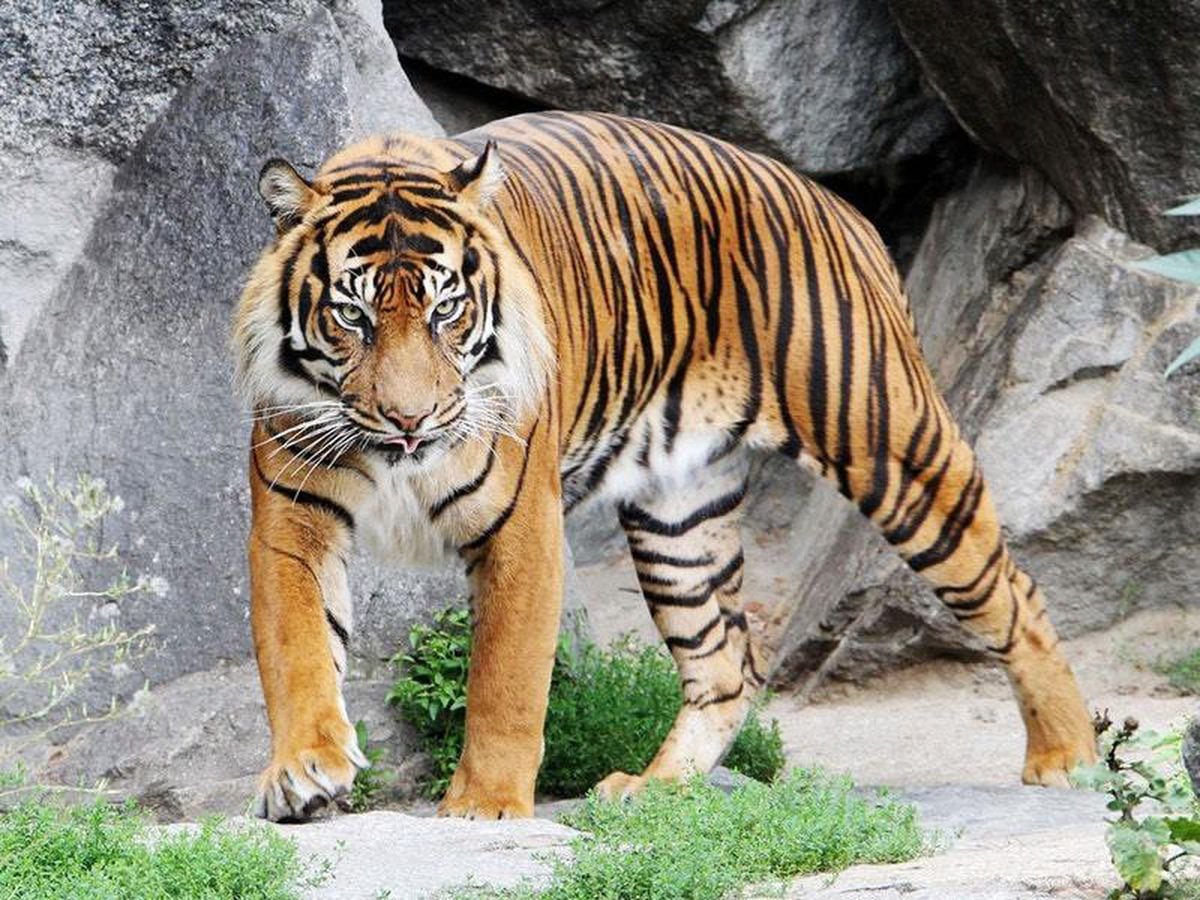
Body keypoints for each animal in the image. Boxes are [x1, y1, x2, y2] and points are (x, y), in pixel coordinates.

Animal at [231, 109, 1099, 820]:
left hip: (892, 449)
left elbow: (507, 680)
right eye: (352, 314)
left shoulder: (521, 528)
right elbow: (298, 649)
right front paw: (304, 771)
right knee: (727, 661)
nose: (409, 420)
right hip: (679, 520)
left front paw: (483, 806)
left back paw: (1068, 757)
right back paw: (655, 788)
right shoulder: (293, 516)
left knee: (1014, 592)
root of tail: (834, 202)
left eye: (446, 310)